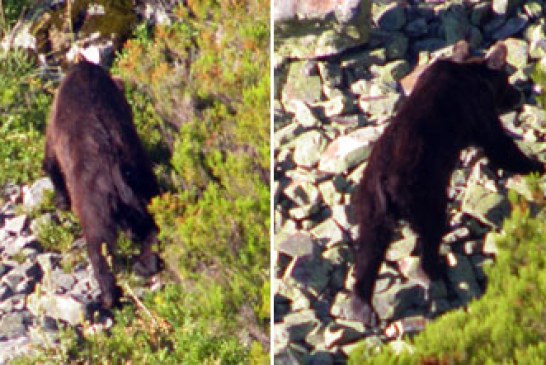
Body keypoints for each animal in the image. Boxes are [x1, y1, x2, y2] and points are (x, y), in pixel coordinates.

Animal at [43, 61, 160, 308]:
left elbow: (51, 164)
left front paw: (60, 200)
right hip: (145, 188)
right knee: (152, 228)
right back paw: (144, 264)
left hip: (96, 206)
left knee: (99, 249)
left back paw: (107, 298)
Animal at [350, 41, 540, 322]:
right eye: (506, 80)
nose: (519, 94)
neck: (474, 75)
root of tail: (384, 187)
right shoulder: (477, 111)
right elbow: (498, 144)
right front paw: (536, 165)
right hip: (423, 193)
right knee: (431, 230)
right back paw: (436, 270)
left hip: (370, 207)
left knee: (369, 249)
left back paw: (362, 307)